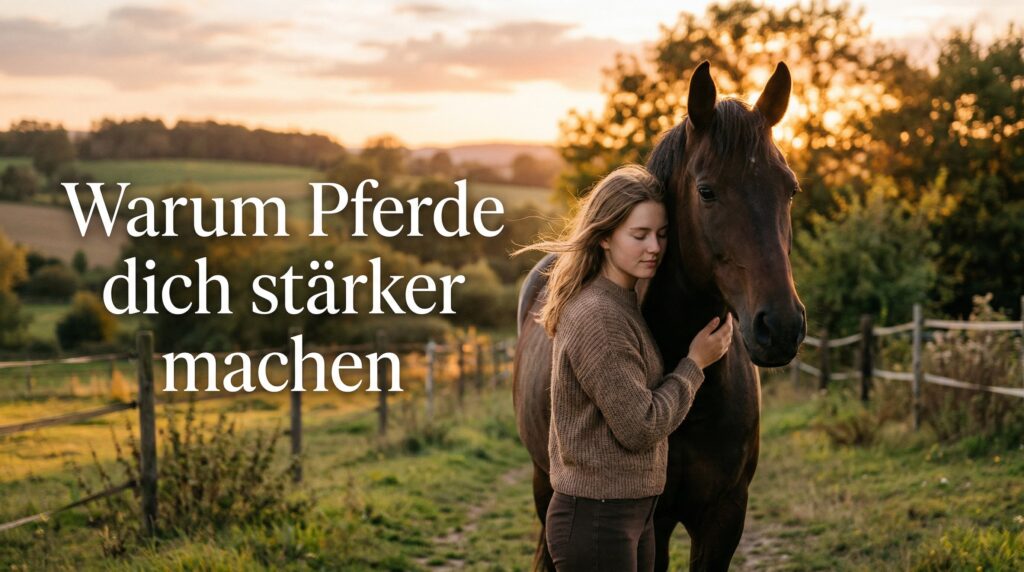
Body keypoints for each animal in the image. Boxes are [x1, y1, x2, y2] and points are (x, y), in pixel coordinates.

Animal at [513, 61, 806, 572]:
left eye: (789, 189)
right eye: (706, 191)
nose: (781, 327)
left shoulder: (724, 517)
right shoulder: (651, 519)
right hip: (544, 482)